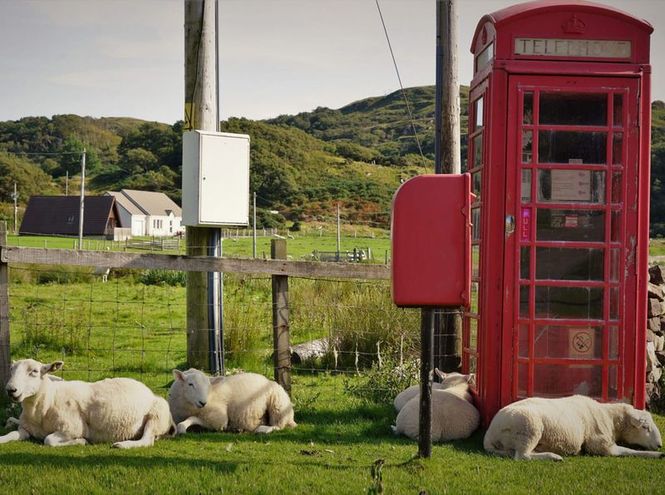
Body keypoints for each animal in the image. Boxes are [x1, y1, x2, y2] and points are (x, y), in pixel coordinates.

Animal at [0, 360, 175, 450]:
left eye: (35, 372)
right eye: (11, 369)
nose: (11, 390)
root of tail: (148, 391)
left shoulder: (72, 428)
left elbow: (48, 440)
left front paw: (81, 441)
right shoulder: (25, 429)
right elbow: (13, 433)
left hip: (157, 415)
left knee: (147, 440)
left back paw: (122, 445)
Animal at [482, 396, 664, 462]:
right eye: (645, 427)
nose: (659, 445)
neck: (609, 418)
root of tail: (489, 434)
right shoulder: (600, 445)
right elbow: (628, 451)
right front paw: (657, 455)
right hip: (529, 428)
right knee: (522, 456)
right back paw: (554, 457)